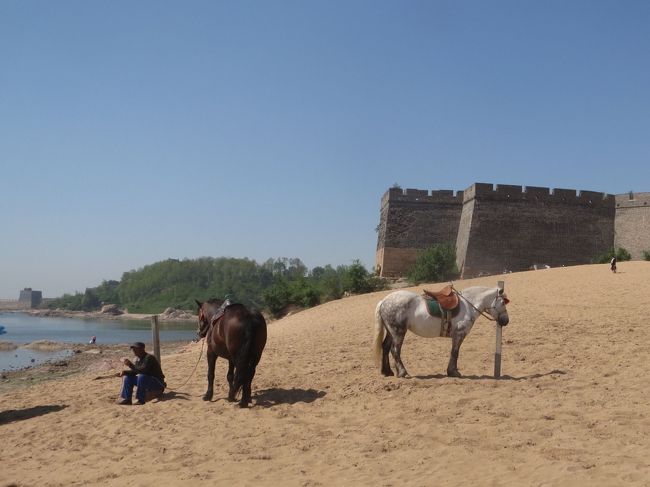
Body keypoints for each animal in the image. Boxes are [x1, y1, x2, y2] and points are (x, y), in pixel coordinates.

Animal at [372, 288, 508, 380]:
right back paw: (402, 372)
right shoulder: (459, 334)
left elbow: (454, 352)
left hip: (391, 331)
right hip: (398, 332)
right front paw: (453, 372)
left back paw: (387, 372)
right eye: (502, 303)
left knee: (385, 347)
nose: (506, 320)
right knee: (395, 350)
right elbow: (455, 352)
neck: (468, 305)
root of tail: (384, 301)